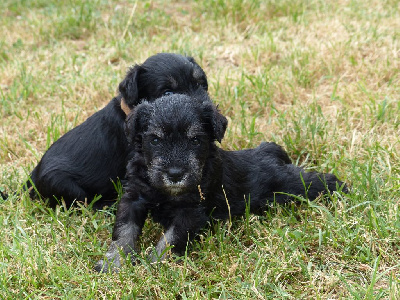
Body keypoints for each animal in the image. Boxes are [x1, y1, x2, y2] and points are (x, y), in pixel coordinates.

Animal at [94, 92, 346, 272]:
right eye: (155, 140)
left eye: (195, 140)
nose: (175, 174)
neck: (166, 192)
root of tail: (270, 150)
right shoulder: (133, 198)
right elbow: (124, 230)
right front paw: (114, 262)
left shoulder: (191, 211)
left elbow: (170, 239)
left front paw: (154, 264)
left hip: (291, 185)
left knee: (314, 181)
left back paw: (340, 187)